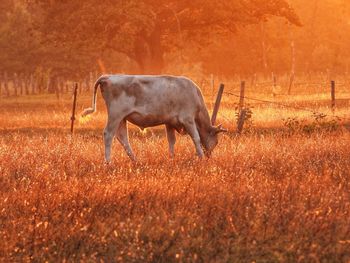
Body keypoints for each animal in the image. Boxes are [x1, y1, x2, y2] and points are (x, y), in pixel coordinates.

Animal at [81, 75, 227, 163]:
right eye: (217, 141)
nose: (209, 156)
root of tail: (108, 76)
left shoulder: (170, 122)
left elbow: (171, 141)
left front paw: (171, 158)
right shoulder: (188, 119)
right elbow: (196, 138)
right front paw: (200, 157)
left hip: (122, 118)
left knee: (122, 137)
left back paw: (135, 160)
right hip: (115, 115)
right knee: (108, 135)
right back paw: (108, 162)